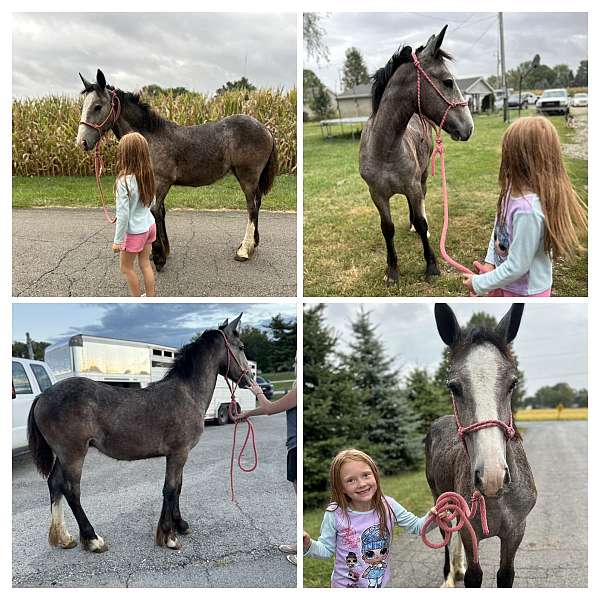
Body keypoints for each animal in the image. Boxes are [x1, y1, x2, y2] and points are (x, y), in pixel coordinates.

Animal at [28, 314, 251, 552]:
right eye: (241, 347)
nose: (249, 380)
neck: (187, 393)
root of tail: (43, 396)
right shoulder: (179, 453)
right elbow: (170, 489)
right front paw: (169, 536)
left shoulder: (179, 455)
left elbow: (177, 488)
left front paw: (180, 525)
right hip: (73, 455)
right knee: (71, 491)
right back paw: (93, 539)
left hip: (63, 456)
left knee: (55, 485)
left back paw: (64, 537)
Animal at [75, 68, 278, 272]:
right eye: (83, 106)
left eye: (97, 106)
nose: (81, 142)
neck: (149, 138)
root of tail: (265, 128)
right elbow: (161, 211)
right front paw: (164, 250)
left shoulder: (162, 182)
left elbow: (155, 211)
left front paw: (159, 257)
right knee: (257, 203)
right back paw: (253, 244)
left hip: (248, 176)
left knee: (252, 207)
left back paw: (244, 250)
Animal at [360, 29, 474, 288]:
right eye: (448, 81)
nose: (469, 127)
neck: (385, 148)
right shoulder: (377, 194)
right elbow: (387, 228)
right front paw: (392, 271)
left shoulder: (412, 186)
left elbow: (422, 223)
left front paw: (432, 267)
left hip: (421, 178)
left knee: (421, 201)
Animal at [426, 304, 540, 584]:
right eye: (453, 387)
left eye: (512, 383)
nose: (492, 476)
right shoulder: (471, 533)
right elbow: (474, 575)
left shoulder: (515, 532)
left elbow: (506, 574)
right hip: (439, 498)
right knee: (447, 534)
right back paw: (449, 573)